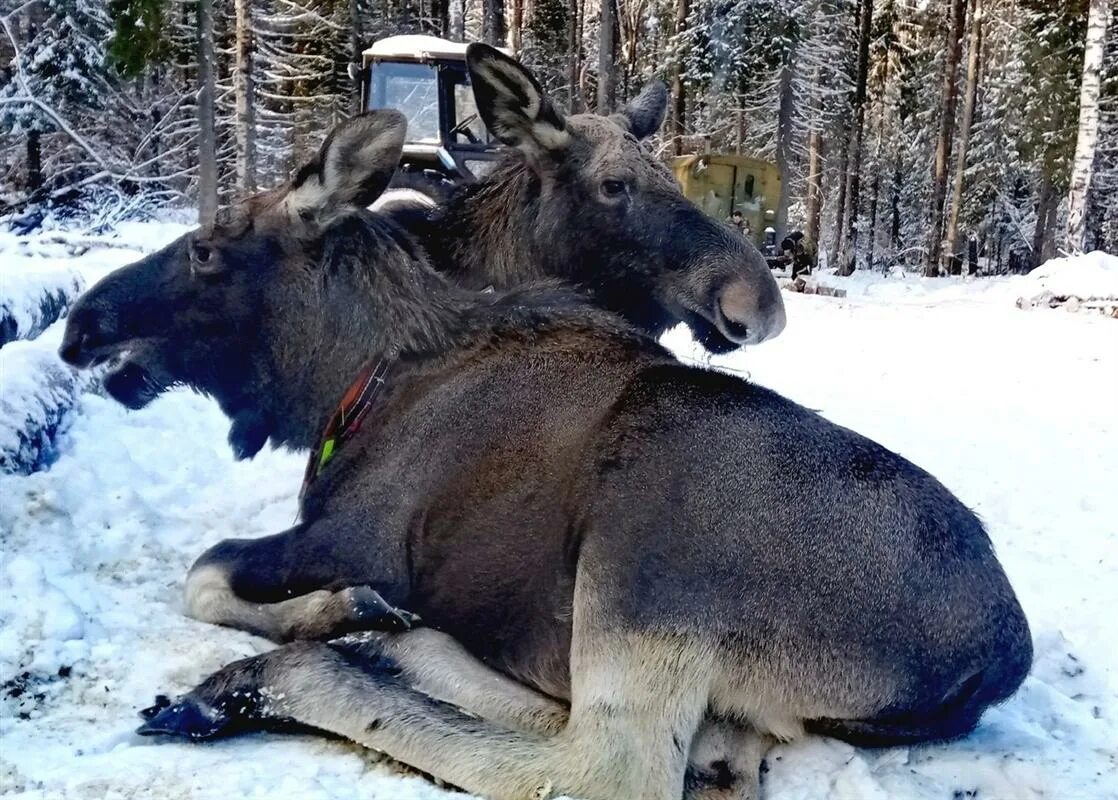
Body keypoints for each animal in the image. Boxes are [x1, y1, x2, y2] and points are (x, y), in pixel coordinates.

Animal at [61, 96, 1033, 795]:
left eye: (208, 250)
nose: (79, 324)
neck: (352, 381)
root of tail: (1000, 652)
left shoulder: (355, 535)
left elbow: (205, 572)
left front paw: (333, 612)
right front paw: (358, 614)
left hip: (645, 548)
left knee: (602, 767)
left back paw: (262, 679)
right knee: (688, 747)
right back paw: (393, 643)